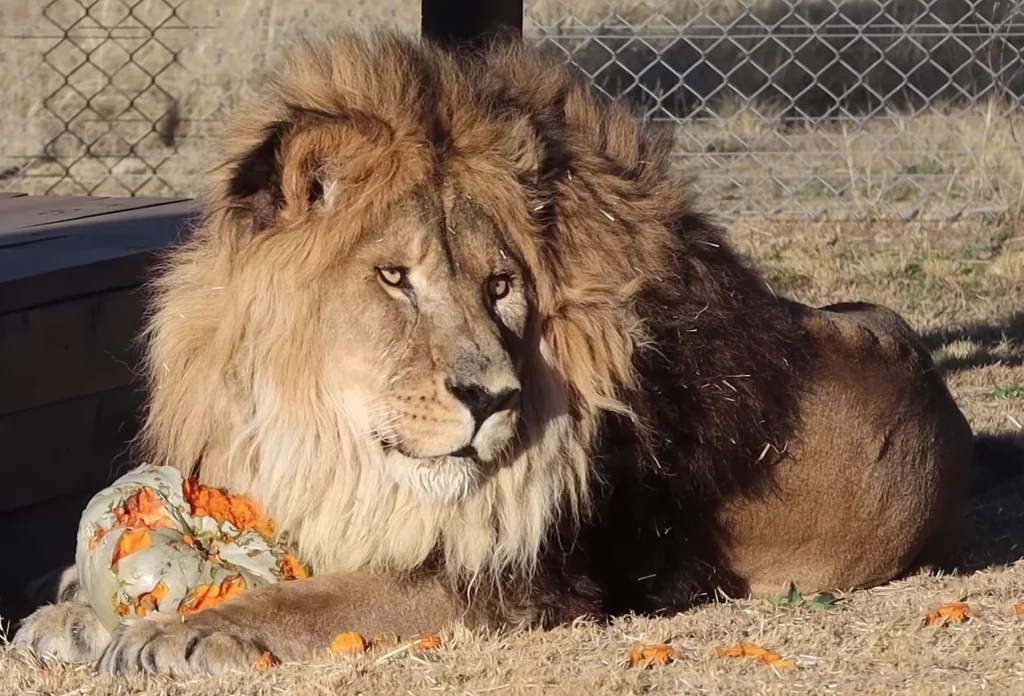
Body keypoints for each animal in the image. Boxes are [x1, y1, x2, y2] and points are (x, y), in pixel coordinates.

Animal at [14, 28, 979, 676]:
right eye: (394, 277)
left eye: (501, 284)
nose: (490, 399)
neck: (322, 434)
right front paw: (69, 612)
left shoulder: (528, 582)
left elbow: (336, 595)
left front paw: (187, 630)